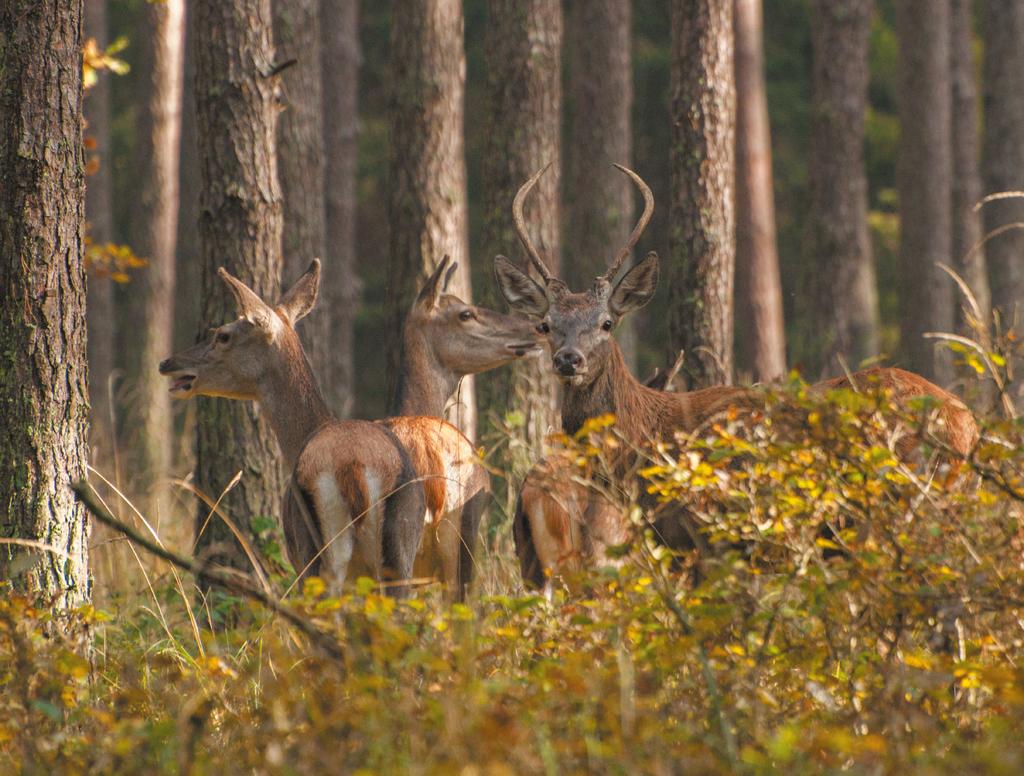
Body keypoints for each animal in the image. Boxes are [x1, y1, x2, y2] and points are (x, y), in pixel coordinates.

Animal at [159, 261, 423, 593]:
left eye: (222, 335)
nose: (167, 363)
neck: (306, 434)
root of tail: (353, 468)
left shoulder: (297, 554)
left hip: (318, 551)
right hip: (399, 552)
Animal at [499, 163, 978, 577]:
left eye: (606, 323)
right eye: (546, 325)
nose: (569, 359)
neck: (643, 448)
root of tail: (966, 423)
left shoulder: (705, 536)